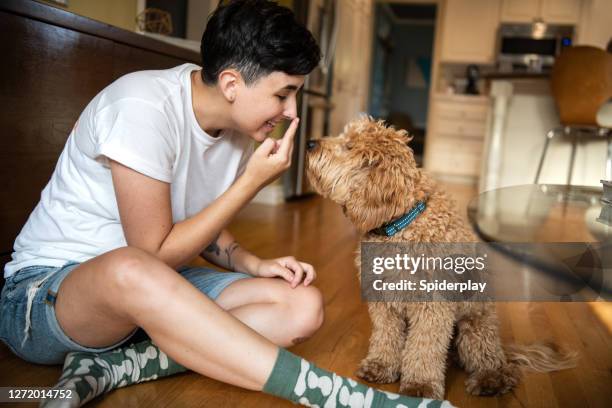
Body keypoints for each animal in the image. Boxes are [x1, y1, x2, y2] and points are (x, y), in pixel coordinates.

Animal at [308, 116, 576, 400]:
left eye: (348, 146)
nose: (310, 143)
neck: (401, 225)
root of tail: (504, 351)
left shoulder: (432, 307)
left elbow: (424, 347)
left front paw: (420, 386)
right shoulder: (383, 302)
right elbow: (386, 336)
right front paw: (381, 366)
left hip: (475, 327)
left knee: (498, 367)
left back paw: (490, 380)